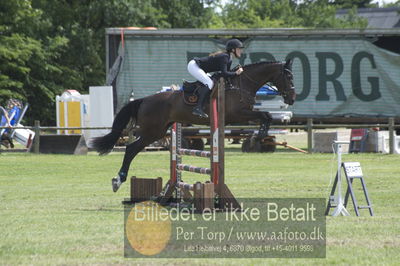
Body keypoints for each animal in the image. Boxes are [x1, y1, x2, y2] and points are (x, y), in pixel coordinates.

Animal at [92, 58, 296, 191]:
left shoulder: (243, 114)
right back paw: (118, 180)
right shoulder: (238, 114)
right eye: (288, 77)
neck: (242, 83)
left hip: (159, 131)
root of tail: (144, 100)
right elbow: (265, 115)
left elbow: (266, 116)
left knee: (133, 149)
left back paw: (119, 180)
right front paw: (258, 137)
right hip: (152, 131)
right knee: (131, 149)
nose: (292, 98)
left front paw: (260, 137)